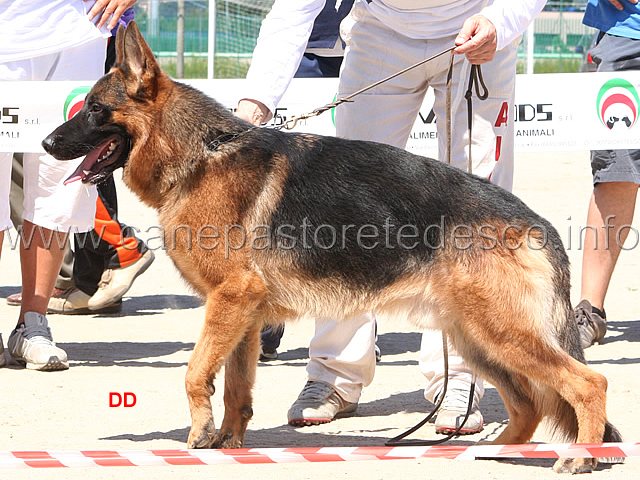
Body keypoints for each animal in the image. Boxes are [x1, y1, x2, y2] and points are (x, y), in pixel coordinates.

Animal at [41, 21, 620, 472]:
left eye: (94, 110)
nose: (46, 143)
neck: (201, 155)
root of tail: (535, 222)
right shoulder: (243, 313)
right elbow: (236, 388)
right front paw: (230, 440)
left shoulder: (229, 300)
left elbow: (195, 373)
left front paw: (202, 433)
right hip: (480, 338)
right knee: (528, 405)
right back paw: (493, 450)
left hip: (501, 333)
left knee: (587, 383)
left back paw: (579, 456)